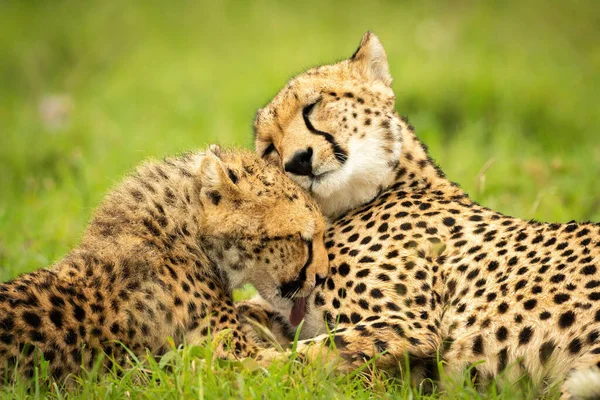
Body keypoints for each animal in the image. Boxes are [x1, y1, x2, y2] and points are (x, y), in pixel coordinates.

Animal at [1, 146, 328, 382]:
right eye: (302, 238)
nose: (322, 277)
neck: (185, 232)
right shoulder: (223, 361)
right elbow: (305, 355)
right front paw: (340, 352)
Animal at [253, 32, 600, 398]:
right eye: (269, 148)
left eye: (312, 106)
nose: (297, 161)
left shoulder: (408, 328)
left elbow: (293, 357)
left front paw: (238, 363)